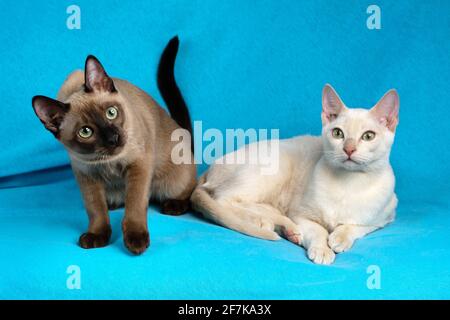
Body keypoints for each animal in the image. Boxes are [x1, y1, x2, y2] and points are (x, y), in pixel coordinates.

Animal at [31, 36, 197, 254]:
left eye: (111, 113)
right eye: (86, 132)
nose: (113, 138)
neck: (108, 162)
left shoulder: (139, 165)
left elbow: (135, 204)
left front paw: (135, 239)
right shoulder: (86, 175)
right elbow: (95, 210)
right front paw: (97, 235)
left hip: (173, 183)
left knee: (190, 190)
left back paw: (174, 205)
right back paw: (112, 204)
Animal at [192, 84, 400, 264]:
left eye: (368, 136)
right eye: (338, 133)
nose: (349, 149)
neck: (348, 184)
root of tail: (209, 169)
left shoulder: (385, 217)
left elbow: (356, 226)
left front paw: (339, 238)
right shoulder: (301, 215)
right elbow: (318, 231)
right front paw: (322, 250)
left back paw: (281, 226)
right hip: (278, 164)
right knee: (223, 200)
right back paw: (265, 222)